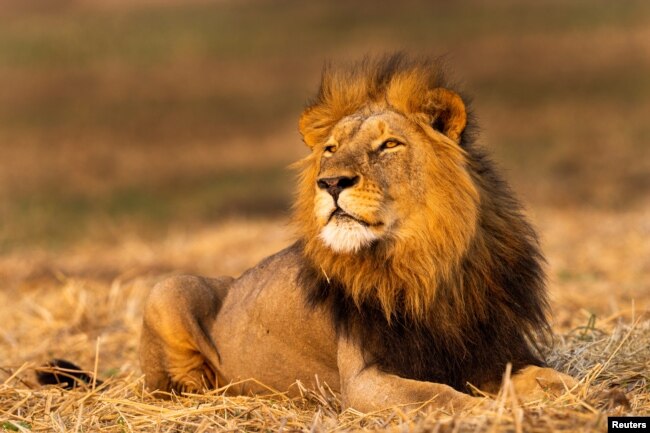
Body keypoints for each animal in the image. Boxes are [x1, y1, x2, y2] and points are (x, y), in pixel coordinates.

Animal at [139, 54, 576, 412]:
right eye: (330, 149)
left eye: (389, 144)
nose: (331, 182)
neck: (428, 260)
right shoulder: (363, 379)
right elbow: (437, 395)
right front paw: (486, 410)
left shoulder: (493, 353)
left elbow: (547, 377)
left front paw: (578, 392)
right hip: (169, 289)